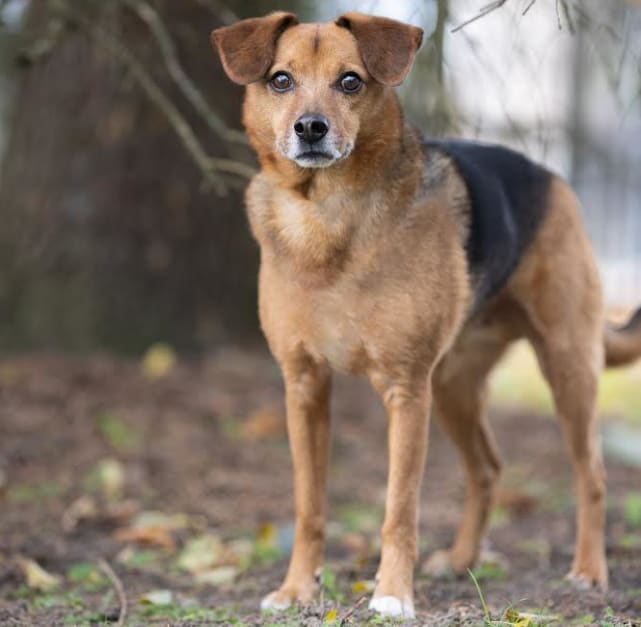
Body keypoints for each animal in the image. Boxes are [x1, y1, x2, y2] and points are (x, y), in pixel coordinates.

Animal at [212, 12, 640, 620]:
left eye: (350, 81)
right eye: (280, 80)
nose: (311, 128)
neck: (326, 215)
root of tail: (549, 176)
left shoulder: (406, 390)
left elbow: (399, 509)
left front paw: (392, 594)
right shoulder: (304, 386)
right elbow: (308, 504)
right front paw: (297, 590)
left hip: (567, 365)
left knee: (593, 474)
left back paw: (588, 570)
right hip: (456, 385)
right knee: (487, 467)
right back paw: (461, 559)